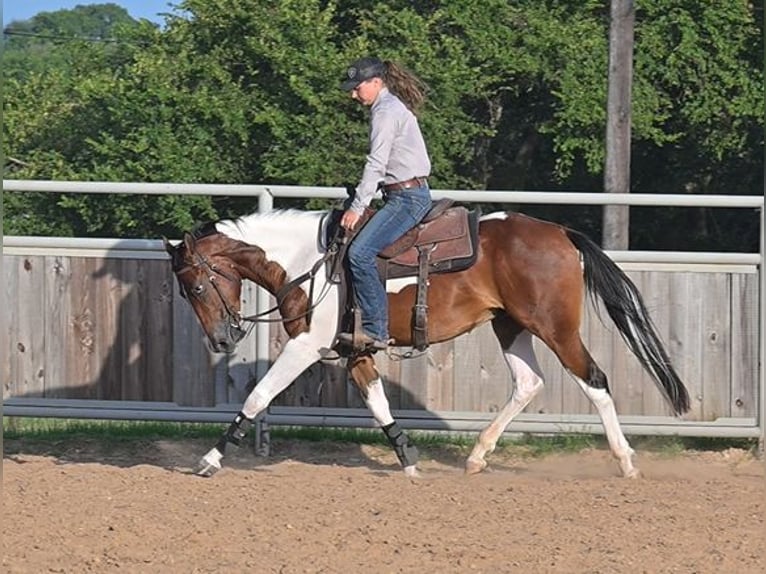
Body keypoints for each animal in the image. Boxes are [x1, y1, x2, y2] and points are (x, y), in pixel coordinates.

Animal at [164, 208, 690, 479]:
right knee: (528, 383)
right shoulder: (356, 351)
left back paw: (625, 461)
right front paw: (408, 460)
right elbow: (378, 404)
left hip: (555, 327)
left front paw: (210, 459)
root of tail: (559, 231)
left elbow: (258, 396)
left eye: (196, 286)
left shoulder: (306, 346)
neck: (306, 262)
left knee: (594, 380)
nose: (222, 338)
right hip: (510, 325)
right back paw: (477, 456)